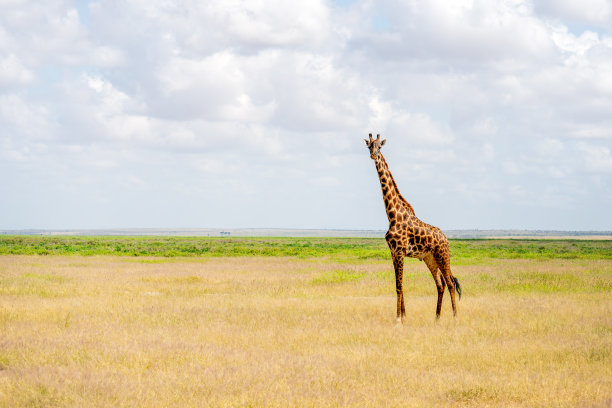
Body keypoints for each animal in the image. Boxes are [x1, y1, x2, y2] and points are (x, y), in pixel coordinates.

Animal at [364, 132, 460, 324]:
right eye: (369, 146)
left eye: (380, 146)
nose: (373, 155)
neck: (392, 215)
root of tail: (446, 238)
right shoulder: (394, 252)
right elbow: (399, 285)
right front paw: (404, 316)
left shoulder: (400, 251)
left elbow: (399, 285)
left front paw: (398, 320)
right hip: (430, 258)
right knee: (440, 284)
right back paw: (436, 318)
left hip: (442, 255)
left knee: (450, 282)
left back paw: (455, 318)